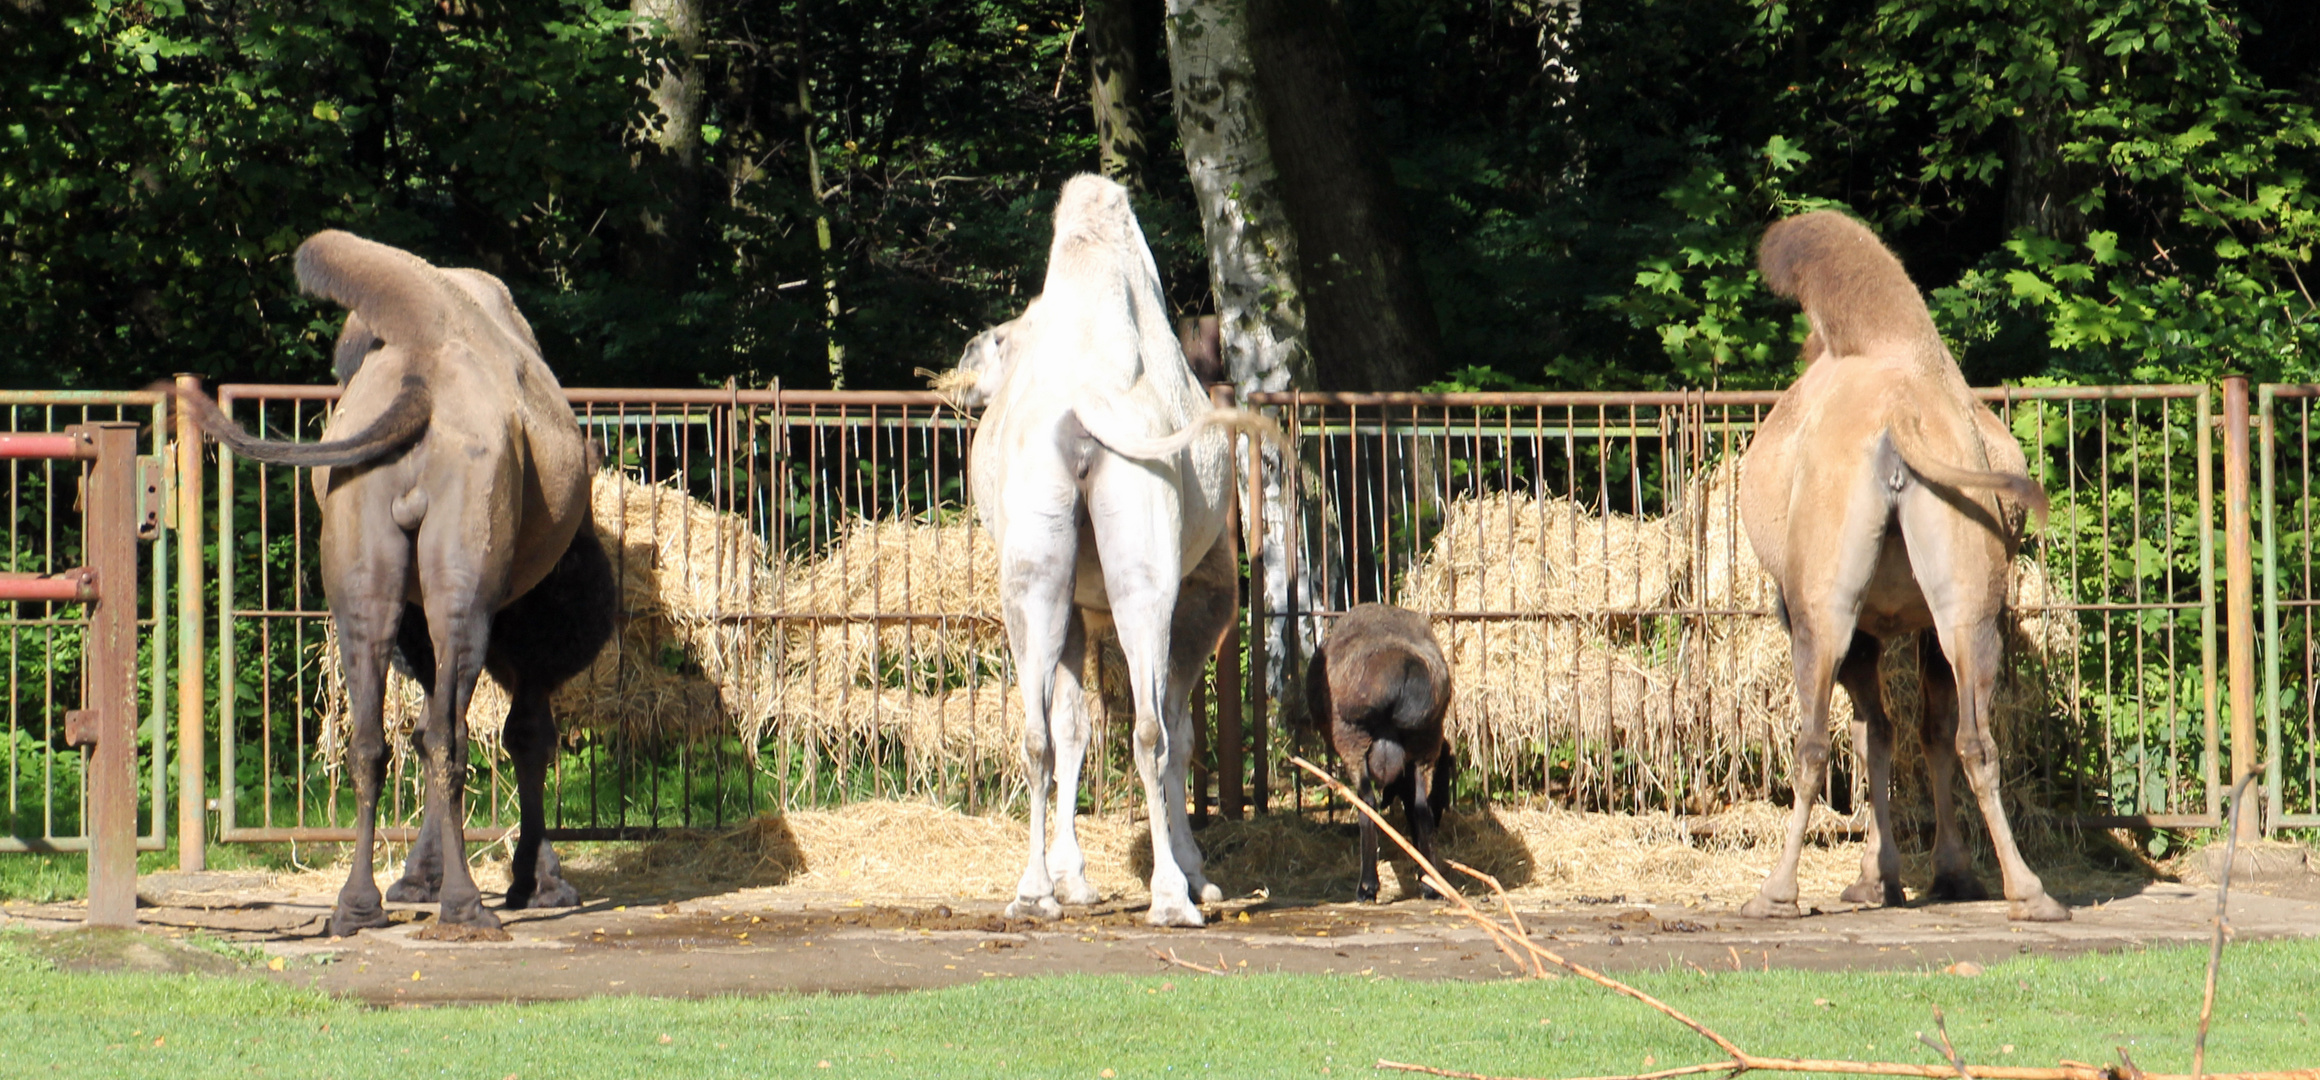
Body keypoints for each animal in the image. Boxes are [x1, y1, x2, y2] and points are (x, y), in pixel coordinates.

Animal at [175, 229, 603, 936]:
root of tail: (420, 384)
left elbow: (428, 722)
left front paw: (421, 880)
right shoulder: (528, 616)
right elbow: (524, 730)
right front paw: (539, 883)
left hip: (361, 548)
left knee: (376, 737)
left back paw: (357, 906)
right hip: (465, 551)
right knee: (451, 734)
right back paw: (464, 906)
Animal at [941, 177, 1289, 927]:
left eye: (1002, 340)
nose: (966, 356)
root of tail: (1082, 414)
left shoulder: (1076, 603)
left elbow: (1072, 726)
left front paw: (1074, 880)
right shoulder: (1207, 595)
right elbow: (1177, 731)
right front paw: (1195, 873)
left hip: (1034, 565)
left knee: (1038, 731)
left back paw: (1033, 894)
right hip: (1148, 558)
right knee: (1152, 730)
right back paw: (1171, 899)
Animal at [1308, 602, 1447, 899]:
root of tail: (1407, 668)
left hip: (1353, 739)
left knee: (1368, 803)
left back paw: (1367, 885)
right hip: (1425, 742)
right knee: (1421, 809)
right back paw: (1431, 885)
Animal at [1744, 208, 2069, 917]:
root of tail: (1900, 422)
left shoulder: (1854, 626)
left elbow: (1871, 734)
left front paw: (1876, 878)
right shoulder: (1923, 623)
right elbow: (1920, 730)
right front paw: (1942, 875)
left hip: (1822, 607)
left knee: (1813, 743)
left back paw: (1775, 893)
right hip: (1969, 602)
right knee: (1975, 738)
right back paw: (2028, 891)